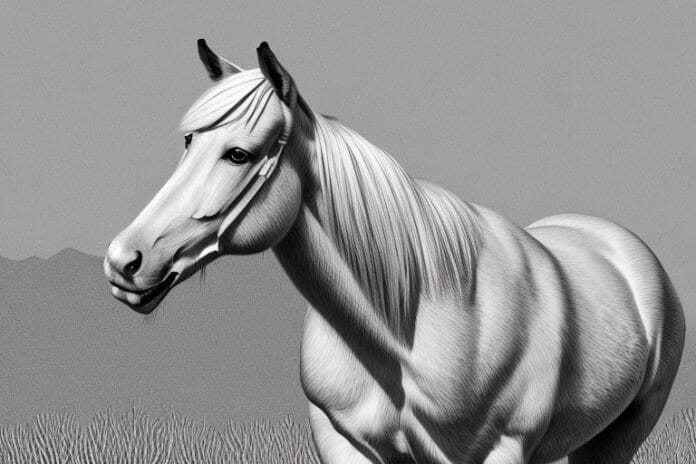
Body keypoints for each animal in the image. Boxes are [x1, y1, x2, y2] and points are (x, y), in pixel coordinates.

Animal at [104, 40, 685, 464]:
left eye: (238, 154)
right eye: (189, 143)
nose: (125, 261)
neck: (406, 332)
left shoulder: (499, 451)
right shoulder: (345, 444)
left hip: (616, 440)